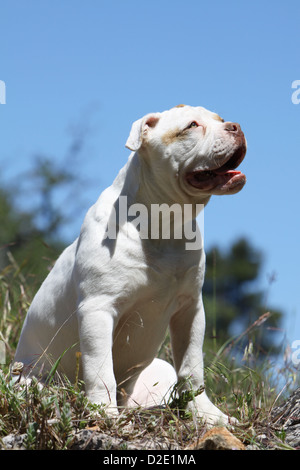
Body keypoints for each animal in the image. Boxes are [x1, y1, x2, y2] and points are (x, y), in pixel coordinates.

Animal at [13, 104, 246, 424]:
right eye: (192, 125)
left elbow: (192, 367)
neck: (162, 222)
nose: (236, 126)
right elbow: (100, 369)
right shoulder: (98, 309)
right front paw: (104, 412)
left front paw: (207, 414)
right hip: (29, 381)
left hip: (159, 368)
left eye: (221, 120)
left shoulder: (190, 309)